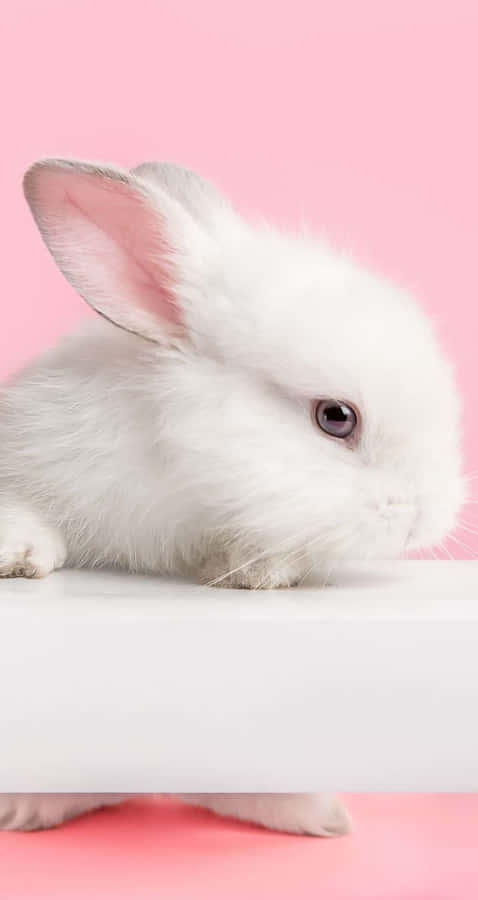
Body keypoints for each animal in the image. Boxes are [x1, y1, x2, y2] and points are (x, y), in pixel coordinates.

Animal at [0, 157, 465, 835]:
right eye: (335, 417)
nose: (427, 518)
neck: (182, 479)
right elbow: (23, 513)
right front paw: (22, 557)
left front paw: (256, 572)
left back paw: (317, 815)